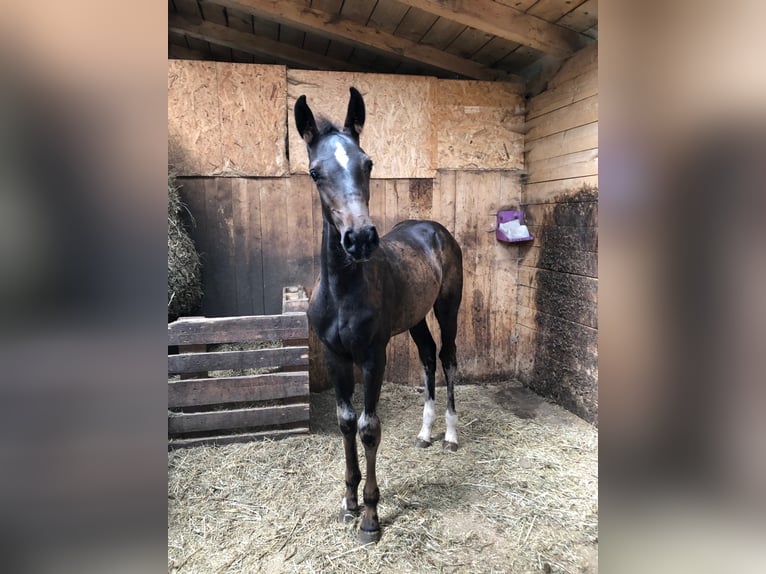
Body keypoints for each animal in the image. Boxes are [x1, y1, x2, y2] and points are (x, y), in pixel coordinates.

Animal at [292, 86, 462, 544]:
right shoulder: (335, 357)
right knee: (427, 357)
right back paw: (424, 433)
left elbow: (369, 427)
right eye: (315, 172)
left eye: (367, 163)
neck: (343, 291)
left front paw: (370, 516)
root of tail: (434, 229)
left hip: (448, 308)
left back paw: (451, 435)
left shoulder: (373, 356)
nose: (360, 238)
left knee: (448, 359)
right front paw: (349, 503)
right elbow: (346, 421)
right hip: (417, 318)